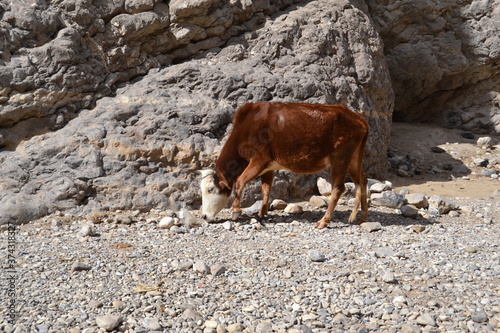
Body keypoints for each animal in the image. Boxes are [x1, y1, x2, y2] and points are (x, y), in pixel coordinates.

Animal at [198, 100, 368, 227]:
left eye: (210, 189)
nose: (204, 216)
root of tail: (358, 119)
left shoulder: (259, 159)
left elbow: (240, 181)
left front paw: (235, 211)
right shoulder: (268, 167)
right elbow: (266, 188)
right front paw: (262, 213)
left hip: (340, 157)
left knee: (338, 188)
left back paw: (324, 220)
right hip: (354, 158)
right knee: (362, 181)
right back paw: (362, 217)